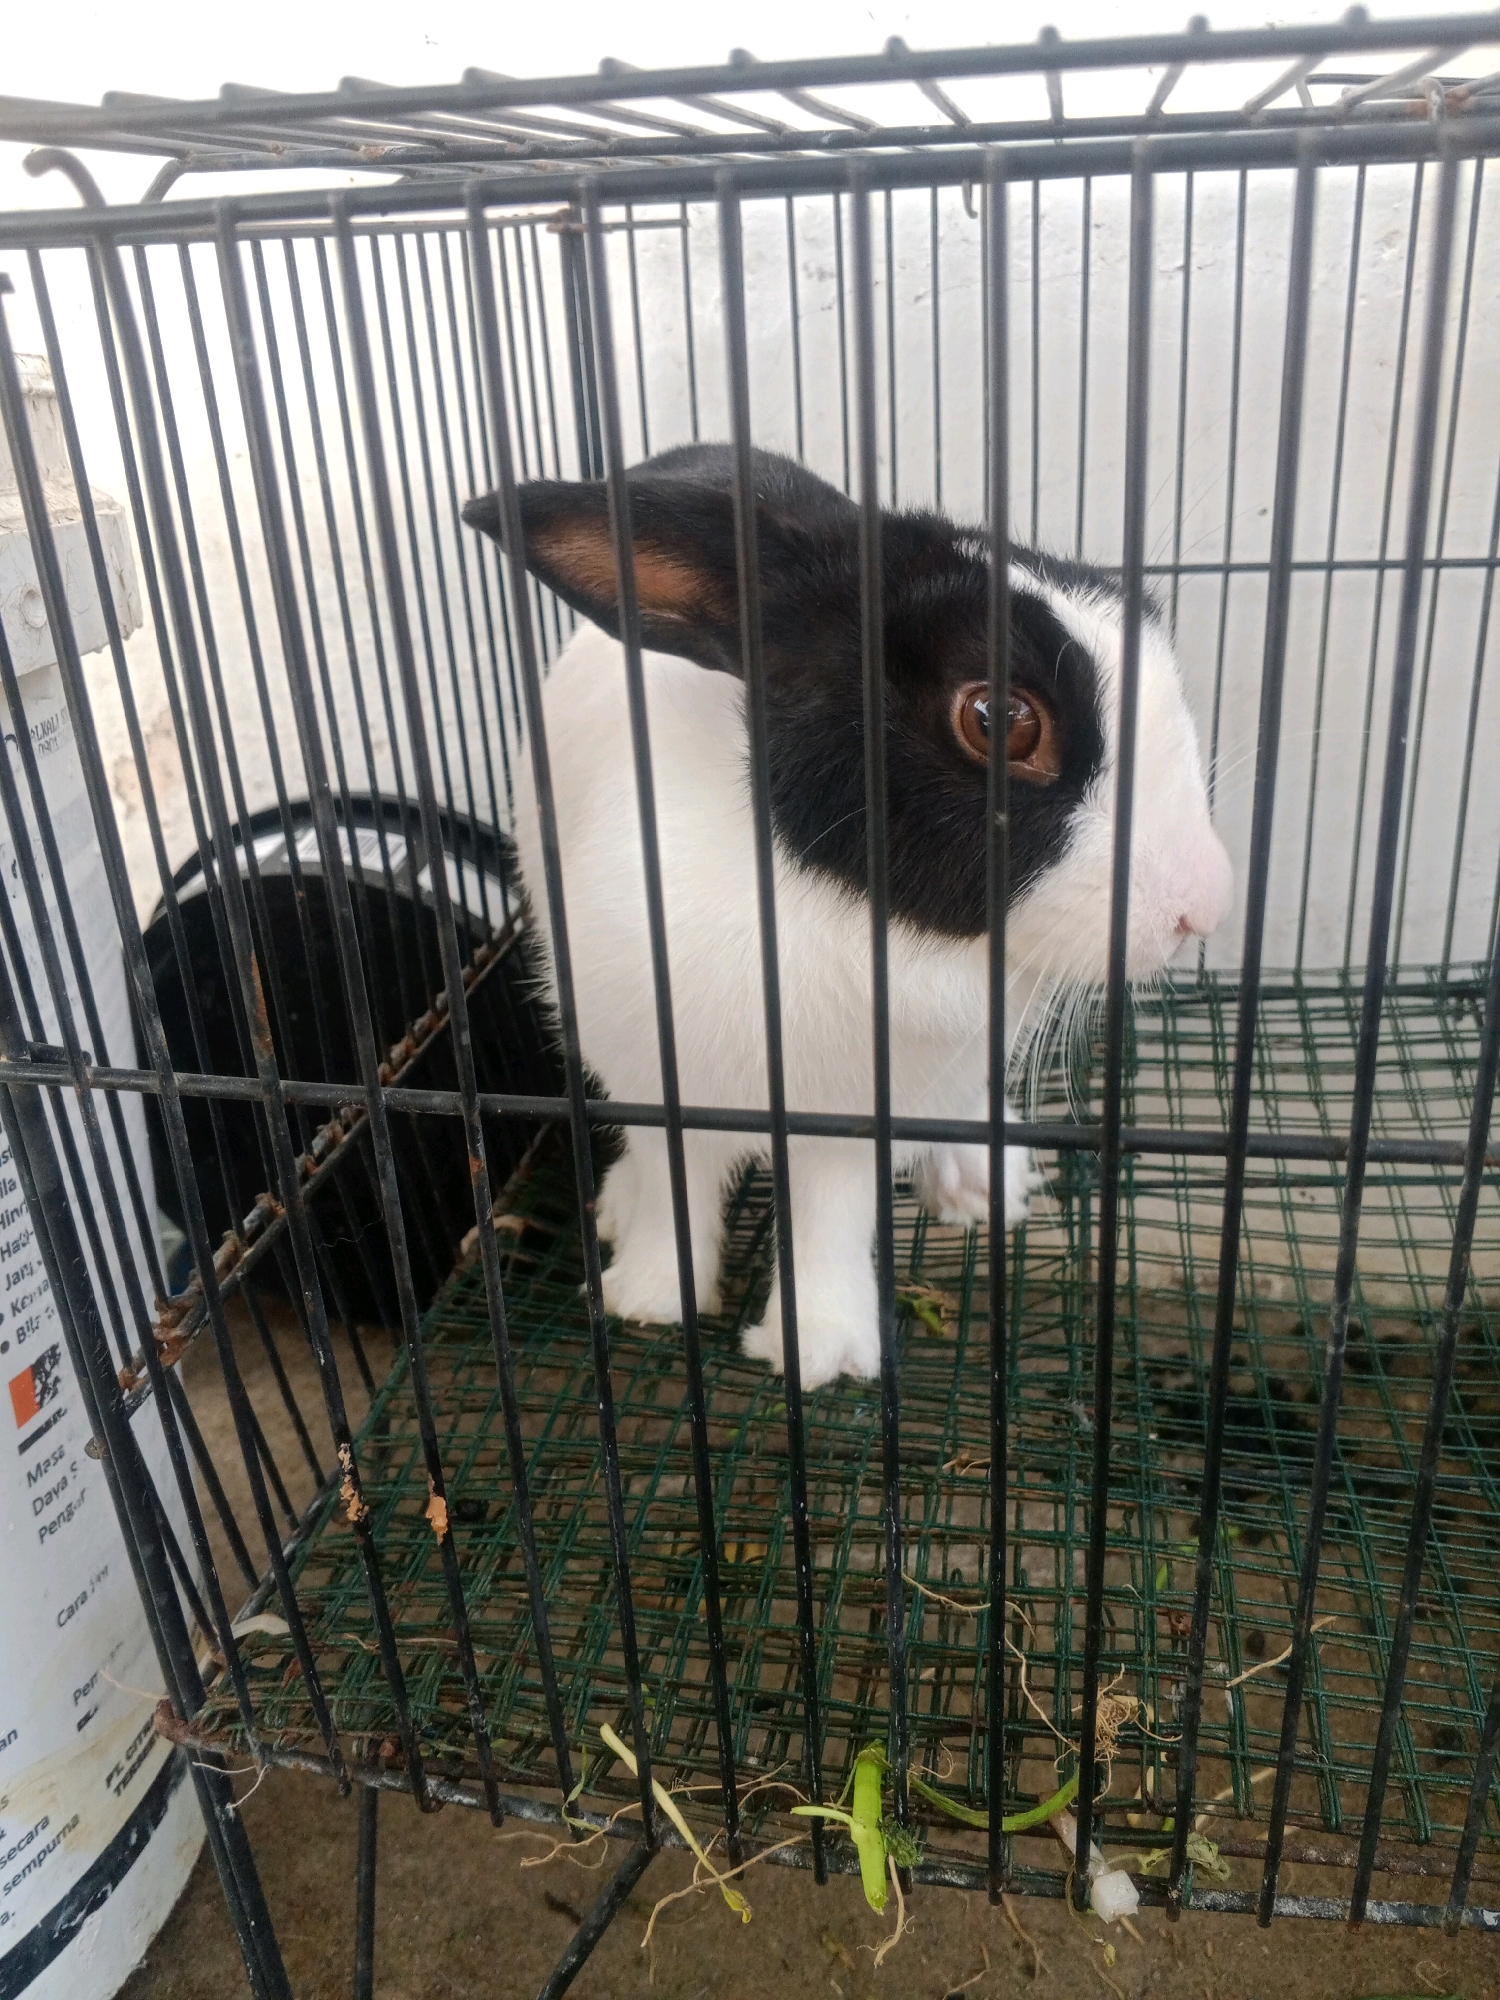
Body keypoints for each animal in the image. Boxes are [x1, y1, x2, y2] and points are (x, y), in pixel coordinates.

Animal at [463, 444, 1233, 1387]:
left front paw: (821, 1352)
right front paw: (647, 1298)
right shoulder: (654, 1073)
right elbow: (677, 1184)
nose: (1205, 905)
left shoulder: (855, 1118)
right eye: (1001, 721)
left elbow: (828, 1223)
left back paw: (982, 1183)